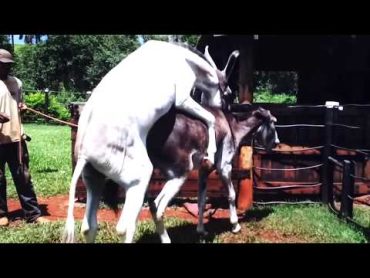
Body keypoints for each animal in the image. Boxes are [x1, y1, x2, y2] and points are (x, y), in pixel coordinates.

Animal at [62, 40, 238, 242]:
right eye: (228, 93)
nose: (223, 109)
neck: (182, 57)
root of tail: (84, 152)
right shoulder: (182, 98)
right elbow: (209, 118)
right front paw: (211, 150)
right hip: (139, 179)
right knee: (124, 226)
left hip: (93, 181)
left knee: (89, 227)